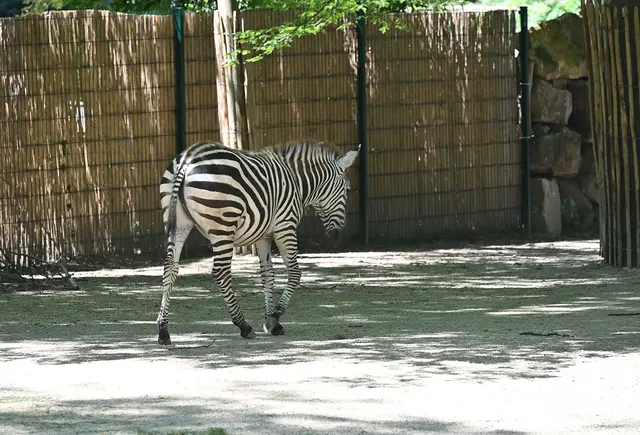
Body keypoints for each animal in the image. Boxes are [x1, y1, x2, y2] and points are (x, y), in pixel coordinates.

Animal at [156, 139, 359, 344]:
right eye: (347, 190)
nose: (337, 235)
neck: (297, 182)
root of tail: (187, 159)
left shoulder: (264, 235)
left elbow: (267, 274)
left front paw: (271, 320)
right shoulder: (285, 226)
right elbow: (295, 273)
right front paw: (275, 316)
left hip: (178, 223)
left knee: (170, 268)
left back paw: (163, 330)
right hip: (223, 226)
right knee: (220, 272)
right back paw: (243, 325)